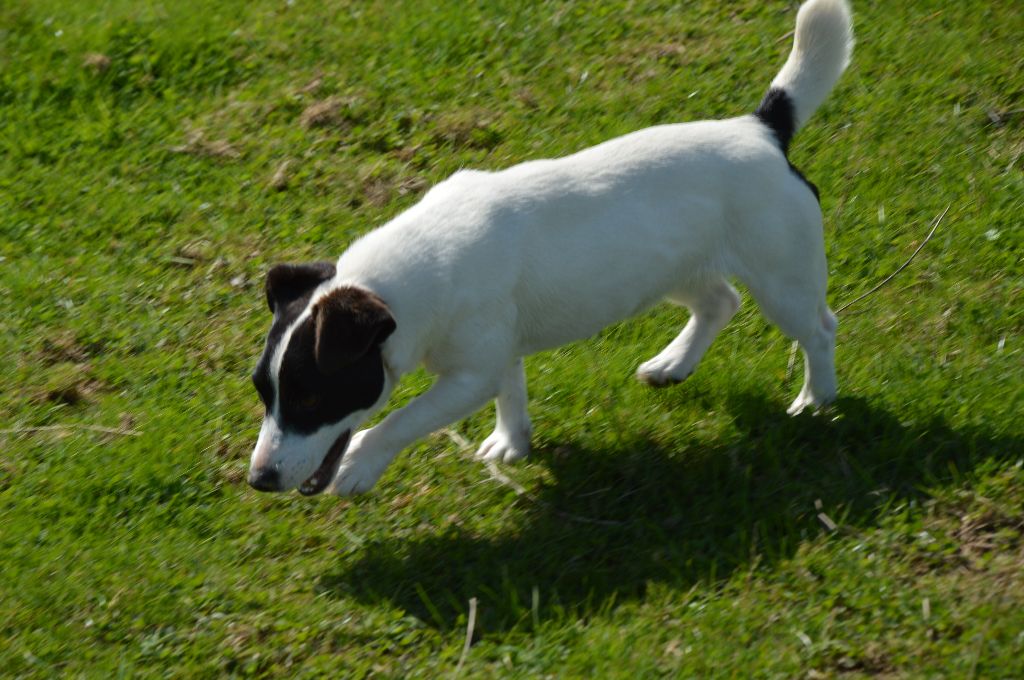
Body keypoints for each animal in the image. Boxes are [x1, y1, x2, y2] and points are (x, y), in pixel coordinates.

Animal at [247, 1, 856, 499]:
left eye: (309, 399)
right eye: (263, 392)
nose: (259, 480)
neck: (400, 285)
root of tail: (762, 130)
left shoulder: (468, 374)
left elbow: (403, 419)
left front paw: (359, 463)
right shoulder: (499, 351)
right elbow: (511, 391)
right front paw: (512, 443)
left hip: (782, 278)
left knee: (819, 330)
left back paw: (815, 400)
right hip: (673, 267)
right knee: (719, 302)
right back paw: (674, 363)